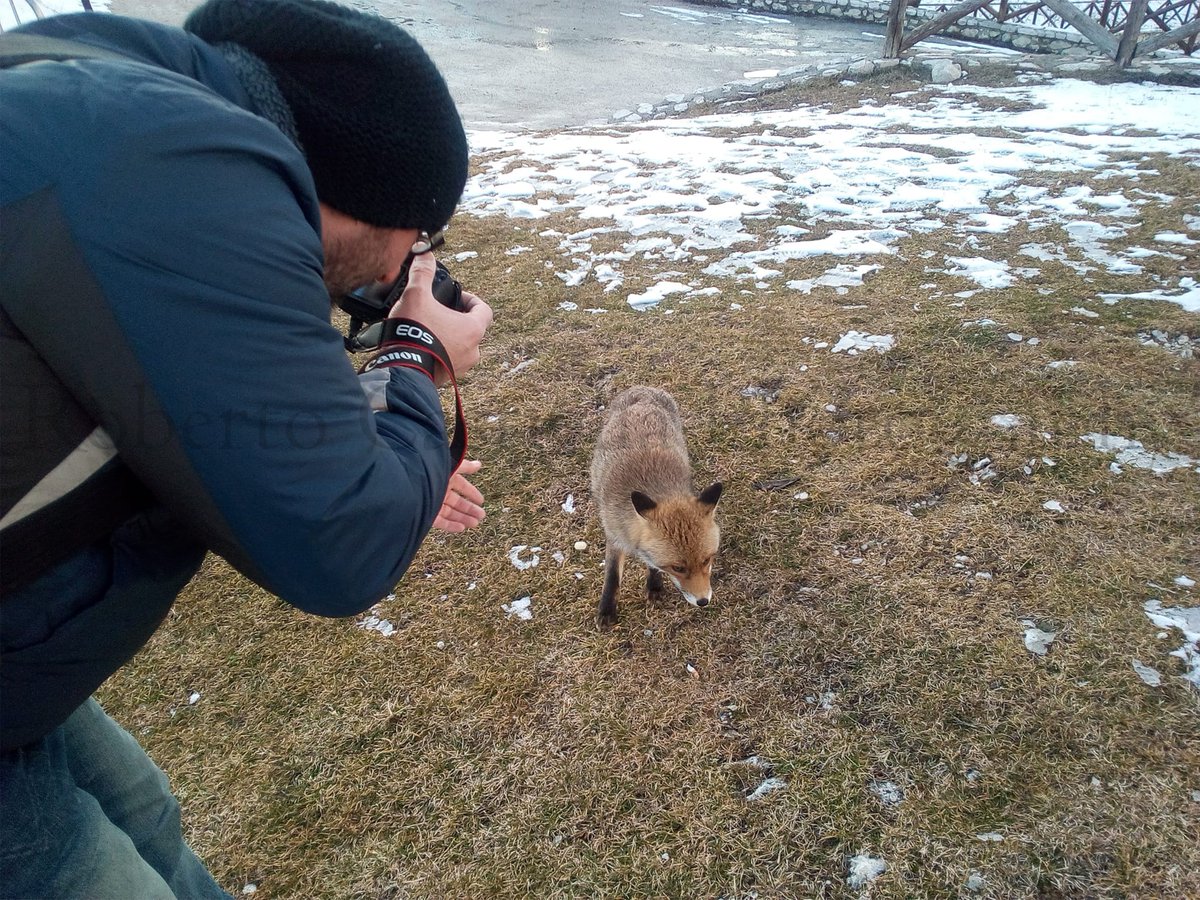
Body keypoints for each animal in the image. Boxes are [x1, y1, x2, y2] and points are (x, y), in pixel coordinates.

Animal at [590, 386, 723, 628]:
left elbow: (651, 562)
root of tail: (642, 389)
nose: (703, 601)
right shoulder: (614, 533)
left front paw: (654, 585)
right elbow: (612, 575)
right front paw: (606, 610)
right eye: (678, 568)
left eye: (707, 560)